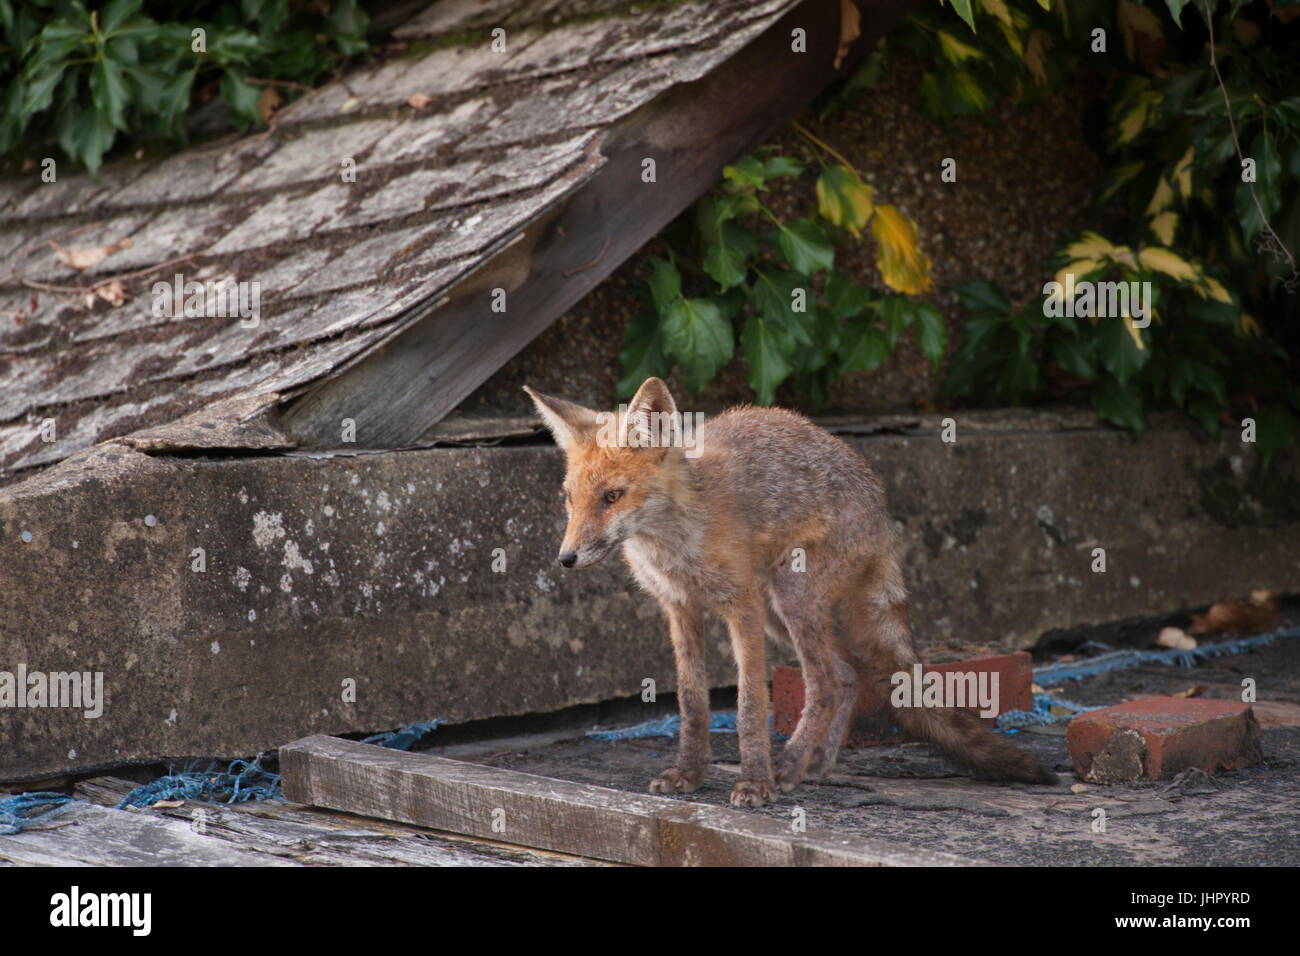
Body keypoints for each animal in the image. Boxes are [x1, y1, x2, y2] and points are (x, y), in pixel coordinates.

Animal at [525, 376, 1057, 807]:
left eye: (612, 497)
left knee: (825, 683)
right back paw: (814, 765)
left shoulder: (740, 606)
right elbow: (693, 703)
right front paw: (689, 774)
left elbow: (747, 707)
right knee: (849, 674)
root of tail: (880, 502)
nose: (565, 559)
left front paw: (756, 782)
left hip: (789, 596)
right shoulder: (680, 607)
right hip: (782, 615)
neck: (674, 543)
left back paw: (789, 767)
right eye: (569, 499)